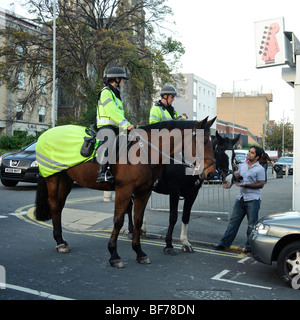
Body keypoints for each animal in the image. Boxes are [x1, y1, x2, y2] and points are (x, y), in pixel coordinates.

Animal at [34, 117, 216, 268]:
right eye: (203, 141)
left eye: (214, 143)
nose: (211, 173)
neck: (145, 152)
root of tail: (45, 134)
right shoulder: (126, 190)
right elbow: (118, 220)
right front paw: (114, 255)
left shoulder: (144, 192)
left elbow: (138, 220)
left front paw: (139, 253)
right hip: (53, 178)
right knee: (54, 206)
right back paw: (60, 243)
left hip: (65, 179)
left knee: (58, 207)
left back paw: (61, 241)